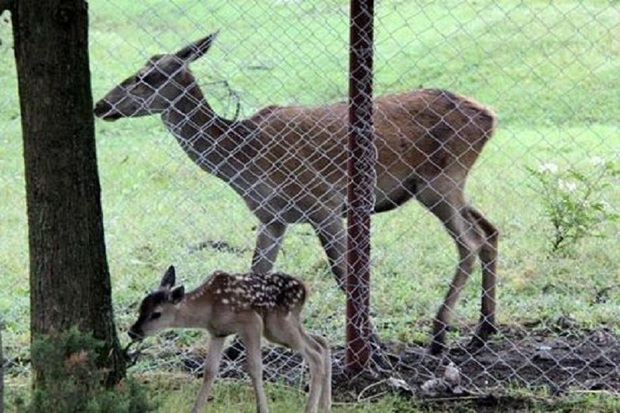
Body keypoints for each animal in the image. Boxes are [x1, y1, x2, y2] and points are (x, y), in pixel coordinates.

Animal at [95, 32, 498, 354]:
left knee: (470, 242)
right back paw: (482, 331)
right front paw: (237, 349)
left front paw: (372, 345)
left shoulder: (324, 205)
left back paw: (440, 334)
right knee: (490, 230)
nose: (101, 104)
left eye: (147, 77)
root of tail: (489, 117)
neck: (243, 160)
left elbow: (345, 276)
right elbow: (256, 274)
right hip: (445, 185)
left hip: (440, 181)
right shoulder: (271, 217)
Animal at [129, 266, 332, 410]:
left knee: (314, 354)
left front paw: (262, 409)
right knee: (321, 342)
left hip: (278, 325)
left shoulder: (251, 322)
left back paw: (310, 408)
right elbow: (210, 371)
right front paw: (196, 409)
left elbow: (255, 368)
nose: (132, 332)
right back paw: (325, 406)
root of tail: (305, 288)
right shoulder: (218, 333)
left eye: (156, 314)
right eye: (140, 308)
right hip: (281, 326)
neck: (209, 308)